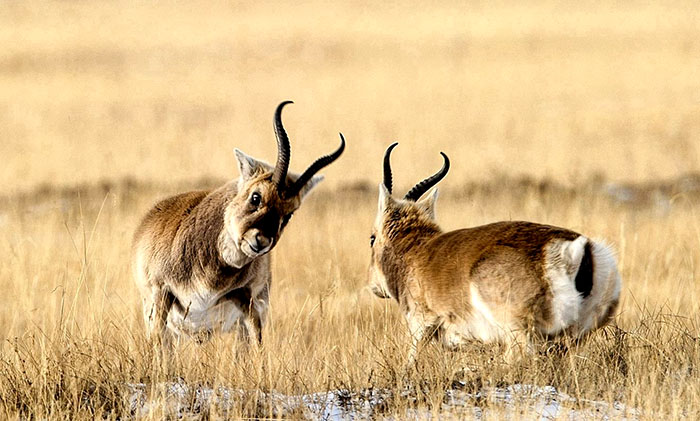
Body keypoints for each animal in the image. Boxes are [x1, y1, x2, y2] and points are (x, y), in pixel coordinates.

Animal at [133, 101, 344, 348]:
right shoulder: (161, 293)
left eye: (289, 214)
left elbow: (257, 340)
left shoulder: (246, 298)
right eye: (256, 196)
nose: (261, 241)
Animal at [370, 144, 620, 360]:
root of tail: (573, 250)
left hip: (518, 333)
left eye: (372, 238)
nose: (374, 287)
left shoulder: (420, 324)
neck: (415, 252)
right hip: (577, 333)